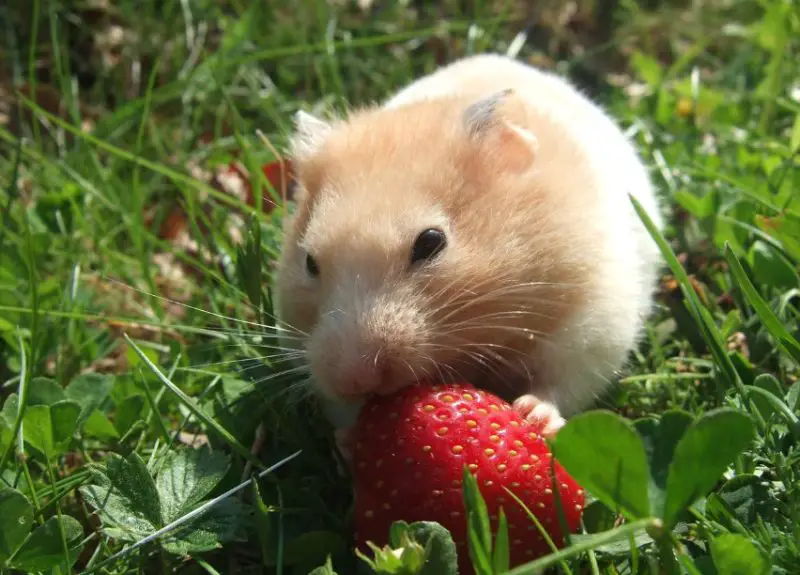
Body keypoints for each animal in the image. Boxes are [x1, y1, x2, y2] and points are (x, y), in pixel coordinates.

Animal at [274, 53, 663, 449]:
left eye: (431, 242)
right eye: (309, 262)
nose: (355, 379)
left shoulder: (592, 325)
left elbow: (561, 384)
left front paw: (532, 415)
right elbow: (345, 412)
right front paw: (350, 439)